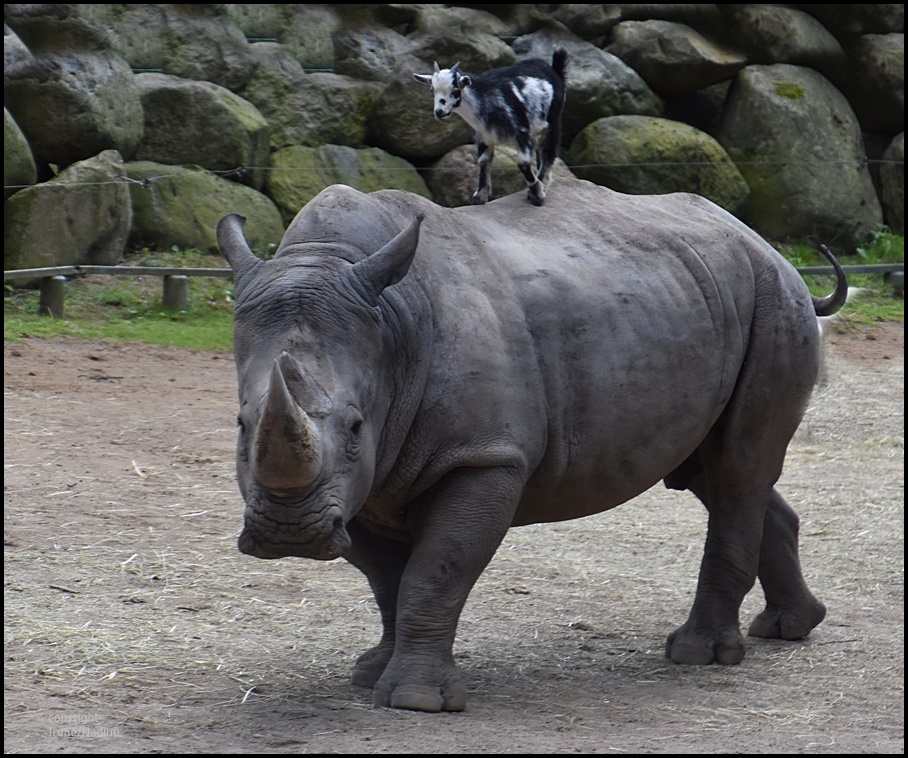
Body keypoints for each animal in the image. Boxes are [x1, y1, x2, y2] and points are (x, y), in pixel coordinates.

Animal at [414, 49, 568, 206]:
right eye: (432, 90)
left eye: (455, 90)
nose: (439, 112)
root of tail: (554, 70)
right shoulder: (484, 135)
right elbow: (483, 161)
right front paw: (479, 197)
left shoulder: (522, 131)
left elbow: (523, 163)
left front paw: (538, 194)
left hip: (553, 123)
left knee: (549, 153)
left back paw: (541, 184)